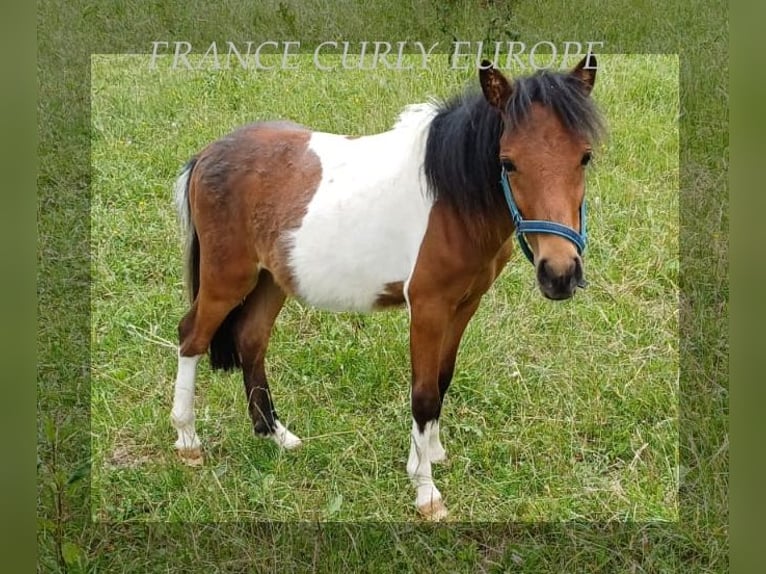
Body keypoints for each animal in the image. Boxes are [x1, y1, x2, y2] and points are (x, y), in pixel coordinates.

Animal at [168, 55, 608, 520]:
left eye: (584, 157)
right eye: (507, 162)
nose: (559, 273)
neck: (450, 198)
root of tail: (206, 155)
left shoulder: (465, 303)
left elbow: (442, 379)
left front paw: (432, 453)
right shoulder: (428, 307)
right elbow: (424, 395)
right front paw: (426, 493)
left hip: (271, 280)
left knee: (251, 339)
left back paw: (276, 434)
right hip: (227, 279)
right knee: (191, 337)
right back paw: (188, 441)